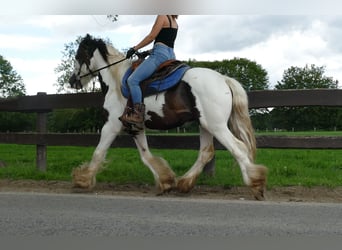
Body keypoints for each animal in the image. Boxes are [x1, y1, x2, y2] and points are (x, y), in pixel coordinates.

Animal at [69, 34, 268, 200]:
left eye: (78, 56)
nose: (72, 81)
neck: (117, 82)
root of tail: (224, 79)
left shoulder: (111, 125)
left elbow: (98, 152)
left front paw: (82, 180)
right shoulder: (135, 127)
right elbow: (145, 155)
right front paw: (165, 181)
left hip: (216, 125)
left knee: (238, 148)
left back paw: (256, 183)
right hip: (205, 125)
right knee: (206, 152)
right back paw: (184, 183)